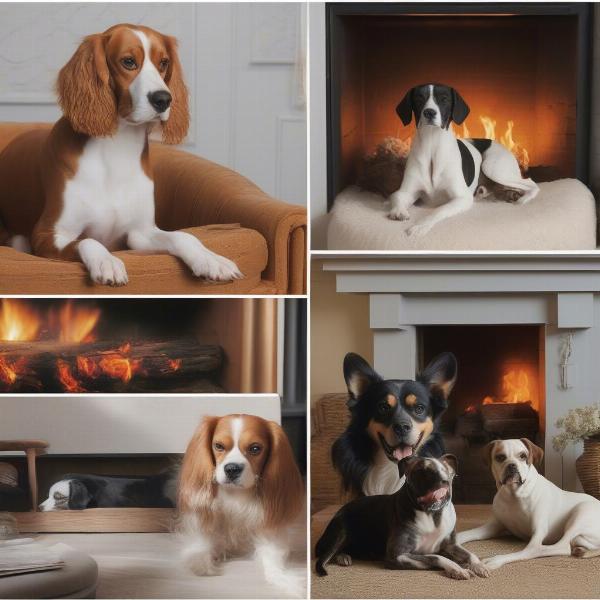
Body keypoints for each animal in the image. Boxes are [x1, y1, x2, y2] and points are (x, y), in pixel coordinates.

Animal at [314, 458, 488, 580]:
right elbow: (436, 557)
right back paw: (340, 557)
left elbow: (470, 554)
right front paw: (457, 568)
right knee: (324, 556)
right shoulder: (397, 556)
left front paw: (478, 565)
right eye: (421, 470)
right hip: (341, 531)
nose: (443, 480)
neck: (432, 514)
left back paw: (346, 556)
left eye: (445, 470)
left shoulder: (451, 545)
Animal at [390, 82, 540, 237]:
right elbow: (396, 197)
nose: (429, 112)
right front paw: (398, 211)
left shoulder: (462, 198)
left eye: (444, 99)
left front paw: (420, 226)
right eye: (419, 98)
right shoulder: (405, 192)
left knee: (530, 182)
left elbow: (439, 210)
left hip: (493, 169)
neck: (432, 145)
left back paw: (523, 198)